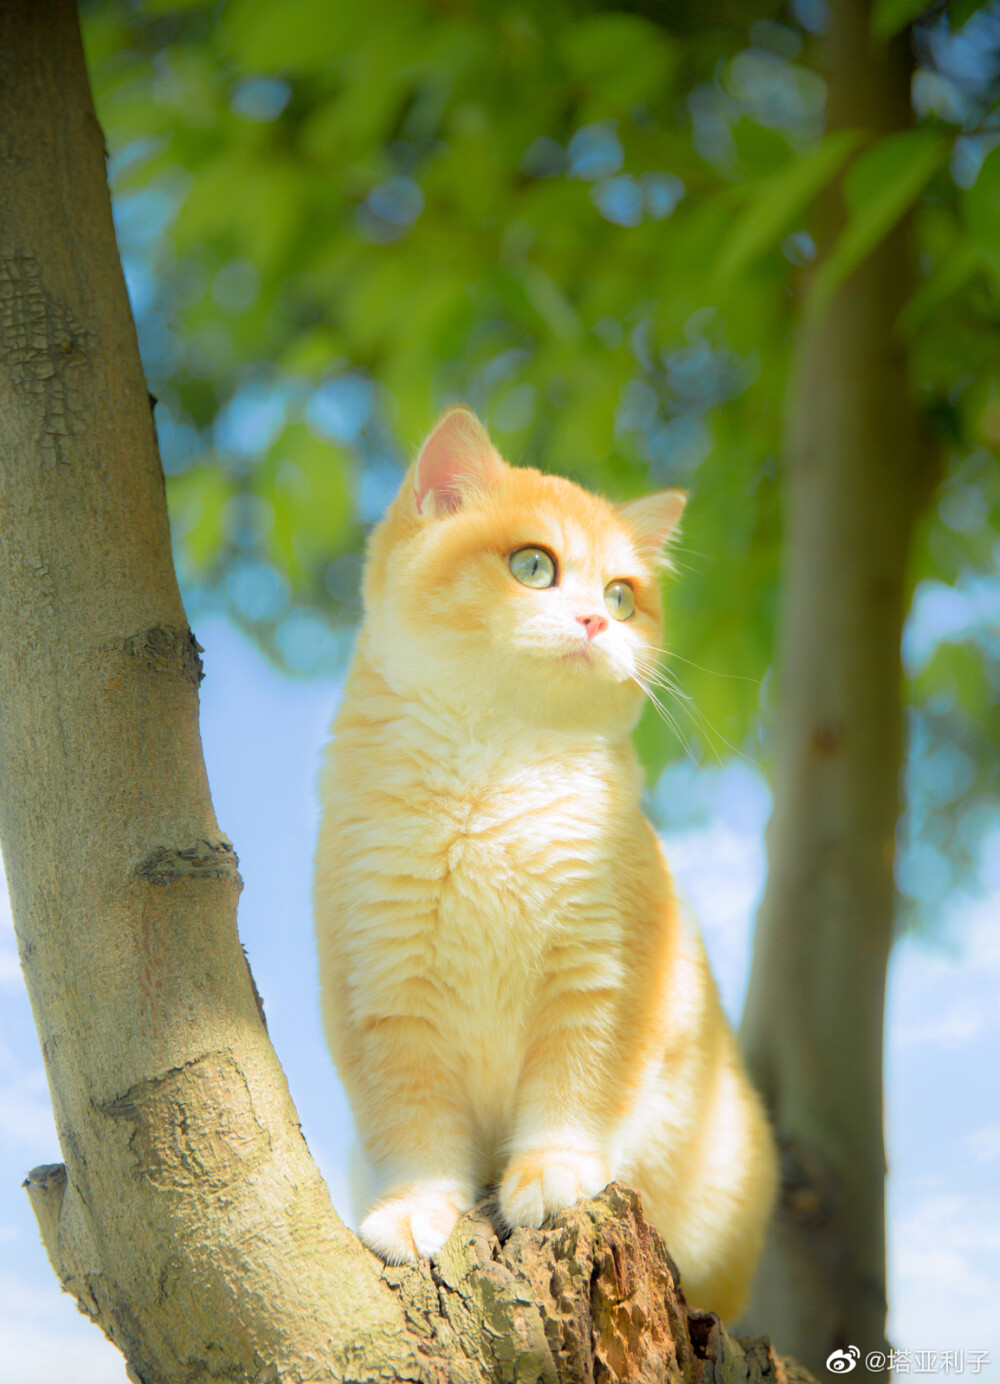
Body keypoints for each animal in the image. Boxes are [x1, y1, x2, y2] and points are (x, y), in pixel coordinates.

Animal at [316, 404, 780, 1323]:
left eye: (621, 596)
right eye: (534, 566)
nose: (596, 622)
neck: (494, 771)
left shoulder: (608, 975)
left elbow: (577, 1087)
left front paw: (551, 1172)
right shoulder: (380, 998)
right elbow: (413, 1129)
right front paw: (415, 1210)